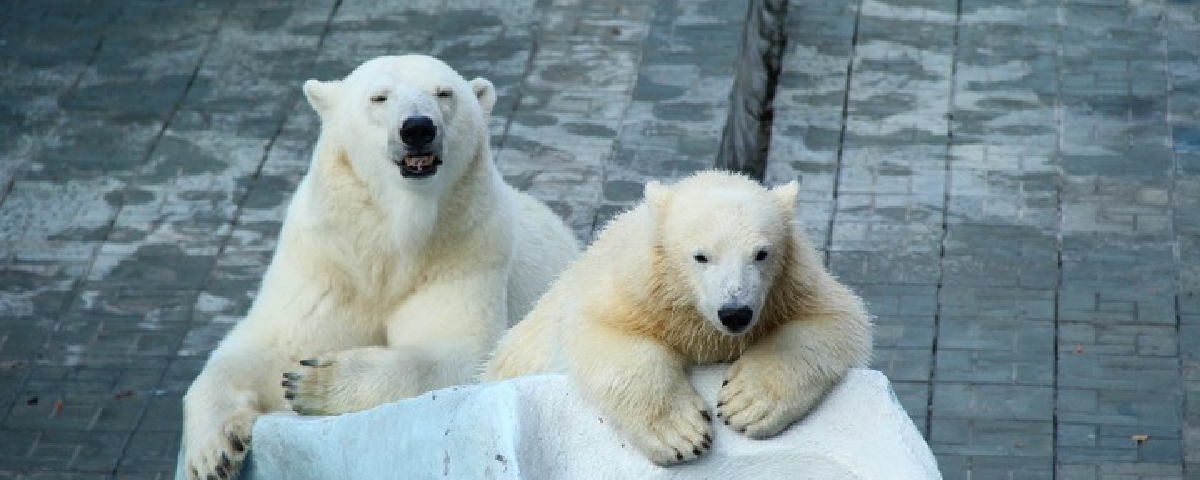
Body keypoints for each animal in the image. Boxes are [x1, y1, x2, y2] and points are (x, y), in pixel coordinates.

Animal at [178, 54, 585, 480]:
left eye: (444, 93)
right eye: (379, 97)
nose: (418, 128)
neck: (390, 244)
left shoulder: (465, 251)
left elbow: (461, 352)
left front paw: (314, 381)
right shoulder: (325, 265)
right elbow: (264, 348)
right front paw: (214, 453)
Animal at [484, 169, 873, 465]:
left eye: (762, 253)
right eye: (701, 256)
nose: (735, 313)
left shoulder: (792, 289)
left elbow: (836, 318)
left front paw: (746, 404)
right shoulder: (632, 289)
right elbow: (598, 331)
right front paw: (682, 434)